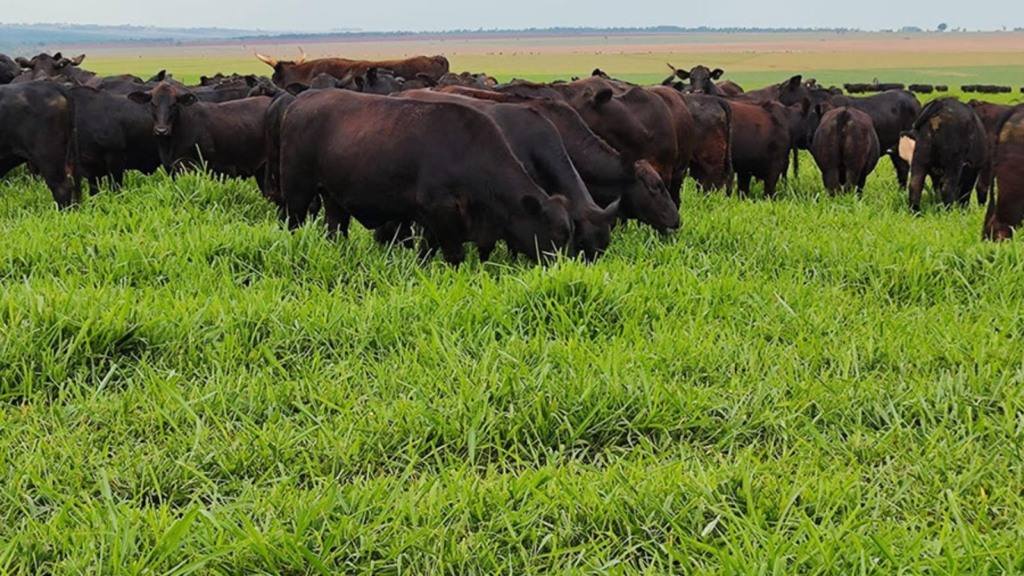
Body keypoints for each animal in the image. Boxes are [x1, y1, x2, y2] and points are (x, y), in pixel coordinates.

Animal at [276, 89, 573, 264]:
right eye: (557, 233)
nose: (560, 267)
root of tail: (302, 98)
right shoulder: (440, 210)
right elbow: (454, 254)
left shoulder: (433, 217)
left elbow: (426, 250)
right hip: (297, 191)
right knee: (291, 222)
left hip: (333, 198)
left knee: (336, 228)